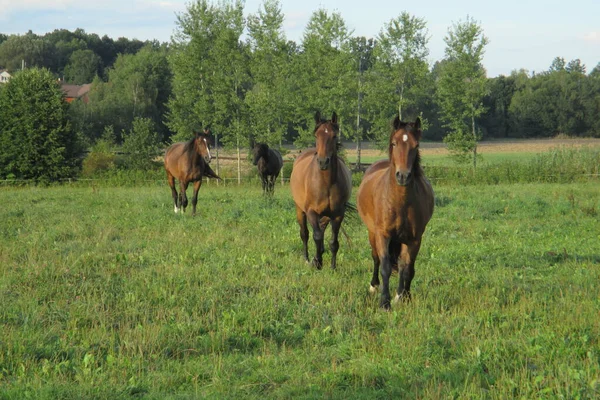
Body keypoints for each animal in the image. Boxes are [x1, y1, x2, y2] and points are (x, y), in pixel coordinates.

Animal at [290, 111, 352, 270]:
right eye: (316, 135)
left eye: (334, 136)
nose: (323, 162)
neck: (326, 183)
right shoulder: (311, 211)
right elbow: (316, 236)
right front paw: (316, 261)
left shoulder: (337, 215)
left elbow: (333, 242)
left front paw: (332, 267)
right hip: (299, 209)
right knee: (305, 233)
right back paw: (307, 258)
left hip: (325, 216)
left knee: (322, 229)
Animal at [356, 115, 436, 310]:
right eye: (394, 143)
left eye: (416, 145)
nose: (403, 176)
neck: (400, 202)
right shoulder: (383, 235)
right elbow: (385, 266)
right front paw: (384, 303)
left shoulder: (414, 239)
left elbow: (407, 268)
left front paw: (402, 297)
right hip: (372, 234)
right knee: (376, 258)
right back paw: (373, 286)